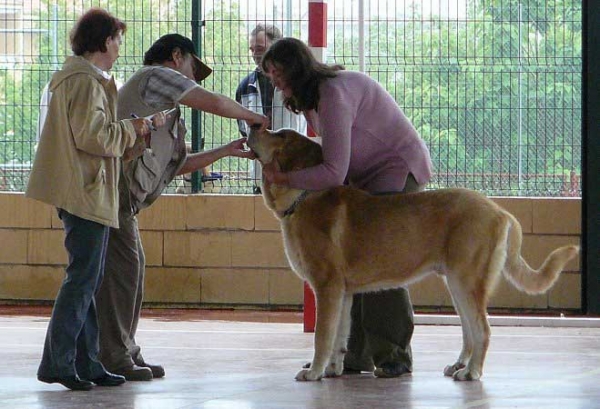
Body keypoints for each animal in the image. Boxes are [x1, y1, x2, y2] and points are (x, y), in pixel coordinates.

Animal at [246, 126, 580, 380]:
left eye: (281, 135)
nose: (254, 125)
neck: (304, 196)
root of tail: (499, 210)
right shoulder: (343, 293)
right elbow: (339, 337)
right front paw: (333, 370)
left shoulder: (327, 287)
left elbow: (321, 337)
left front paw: (314, 372)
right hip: (456, 284)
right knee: (469, 331)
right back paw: (459, 365)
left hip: (467, 282)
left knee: (482, 330)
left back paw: (471, 372)